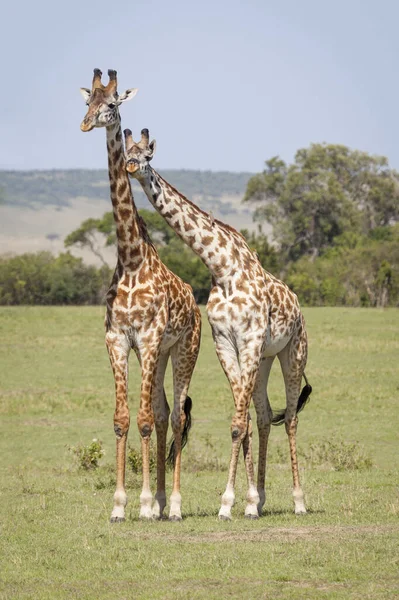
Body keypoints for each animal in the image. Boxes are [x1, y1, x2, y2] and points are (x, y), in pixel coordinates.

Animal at [80, 69, 203, 520]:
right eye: (87, 101)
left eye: (113, 104)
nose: (86, 124)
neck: (131, 259)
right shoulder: (117, 339)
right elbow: (122, 418)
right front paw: (120, 506)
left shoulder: (148, 338)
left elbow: (145, 419)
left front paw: (145, 502)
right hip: (163, 353)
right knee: (167, 413)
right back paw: (165, 502)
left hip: (184, 349)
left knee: (177, 416)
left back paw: (174, 505)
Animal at [124, 127, 312, 520]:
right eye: (126, 150)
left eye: (147, 155)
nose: (131, 167)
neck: (222, 267)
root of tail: (298, 306)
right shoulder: (225, 341)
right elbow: (242, 422)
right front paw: (245, 501)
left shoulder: (251, 338)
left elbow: (238, 424)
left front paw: (228, 504)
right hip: (266, 358)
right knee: (264, 415)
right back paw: (261, 499)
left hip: (293, 353)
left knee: (290, 418)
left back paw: (299, 501)